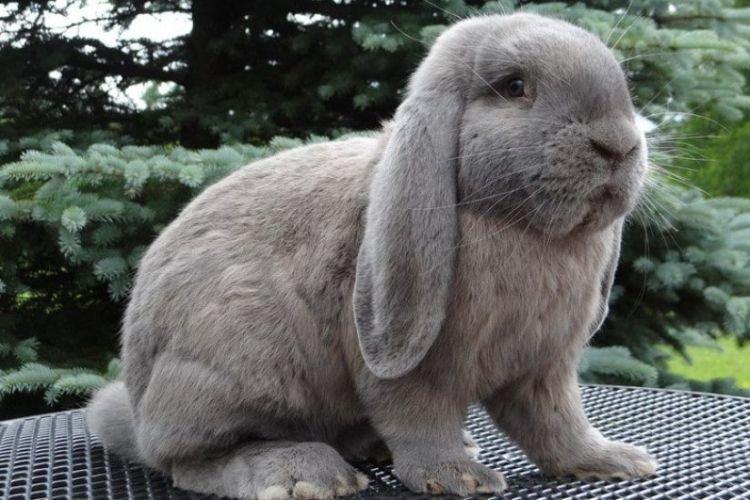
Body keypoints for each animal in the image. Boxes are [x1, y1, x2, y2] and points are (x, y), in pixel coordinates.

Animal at [88, 12, 657, 500]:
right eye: (515, 87)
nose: (618, 144)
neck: (527, 230)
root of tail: (139, 405)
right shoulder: (412, 363)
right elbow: (417, 415)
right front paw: (457, 477)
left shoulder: (545, 368)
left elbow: (557, 424)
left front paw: (615, 461)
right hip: (231, 361)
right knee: (190, 460)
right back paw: (304, 473)